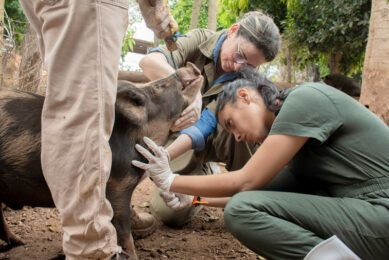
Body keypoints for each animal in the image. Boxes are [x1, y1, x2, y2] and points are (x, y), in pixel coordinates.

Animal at [0, 62, 203, 258]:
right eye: (158, 87)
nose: (190, 65)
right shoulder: (117, 187)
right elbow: (123, 233)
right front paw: (130, 254)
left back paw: (18, 242)